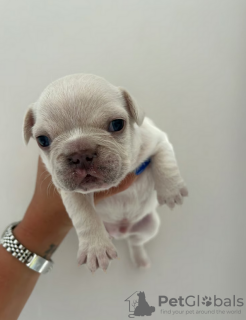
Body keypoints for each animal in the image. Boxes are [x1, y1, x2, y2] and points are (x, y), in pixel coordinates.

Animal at [23, 74, 188, 272]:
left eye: (117, 124)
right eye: (43, 140)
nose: (80, 153)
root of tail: (122, 231)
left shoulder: (158, 139)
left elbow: (165, 160)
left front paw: (171, 191)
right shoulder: (68, 189)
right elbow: (84, 213)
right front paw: (95, 248)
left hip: (150, 226)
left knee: (136, 242)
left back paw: (140, 259)